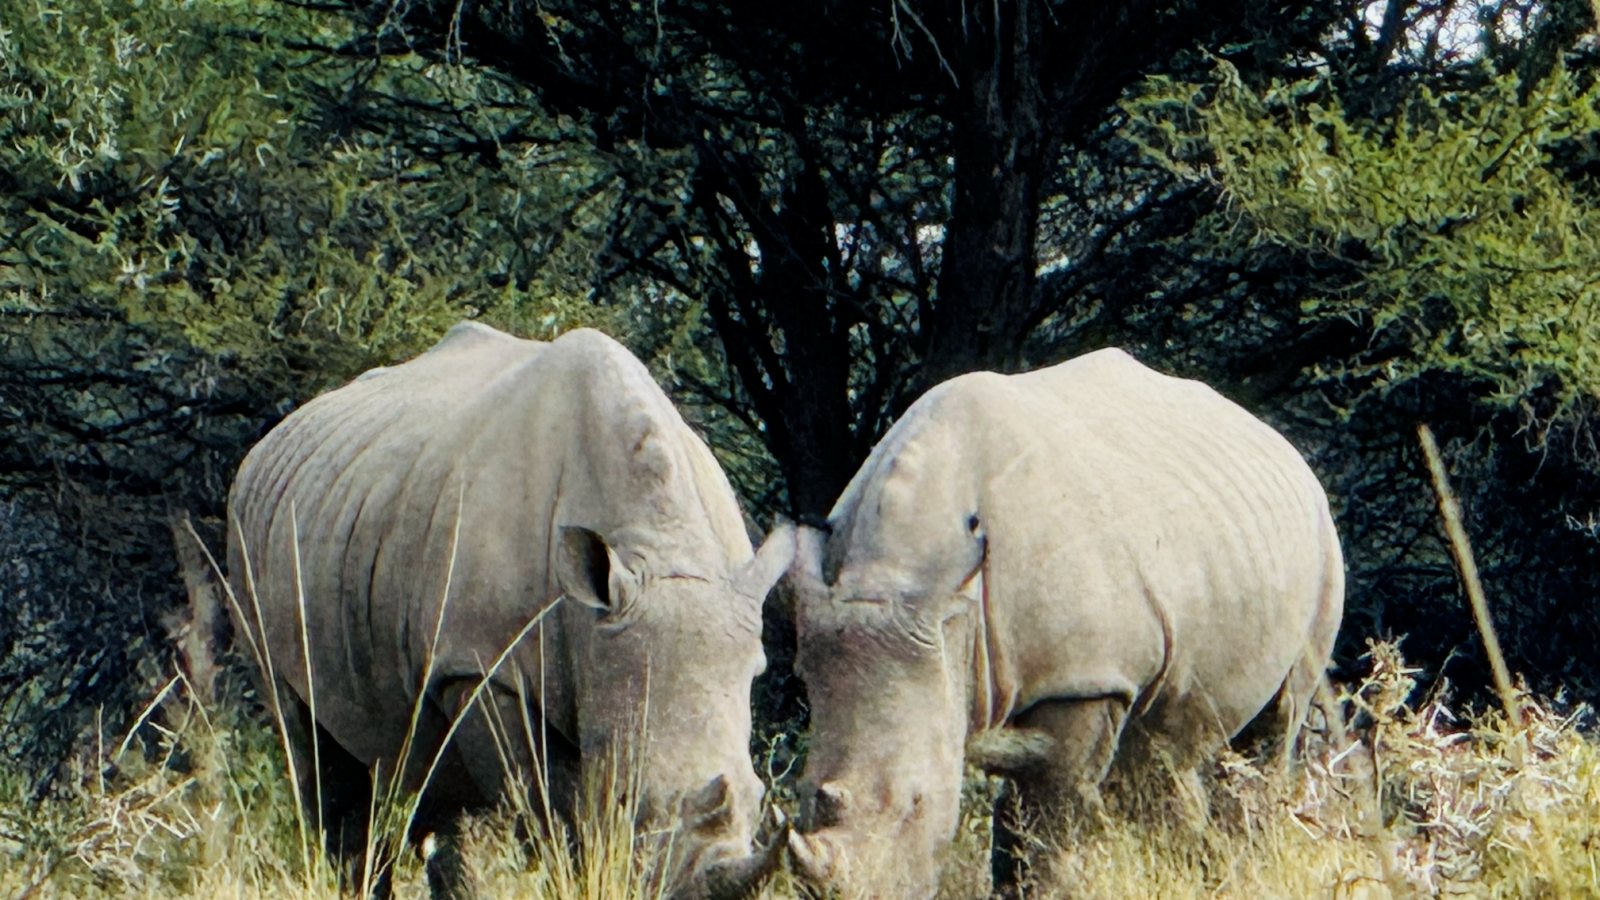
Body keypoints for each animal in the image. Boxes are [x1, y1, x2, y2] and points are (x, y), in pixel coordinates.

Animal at [226, 322, 793, 898]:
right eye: (628, 799)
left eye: (760, 799)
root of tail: (269, 442)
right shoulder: (483, 668)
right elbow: (553, 813)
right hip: (246, 526)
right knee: (310, 747)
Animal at [785, 348, 1344, 898]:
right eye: (803, 794)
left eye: (916, 805)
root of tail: (1284, 446)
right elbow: (1020, 818)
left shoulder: (1084, 678)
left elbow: (1051, 821)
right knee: (1164, 748)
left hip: (1322, 540)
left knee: (1279, 718)